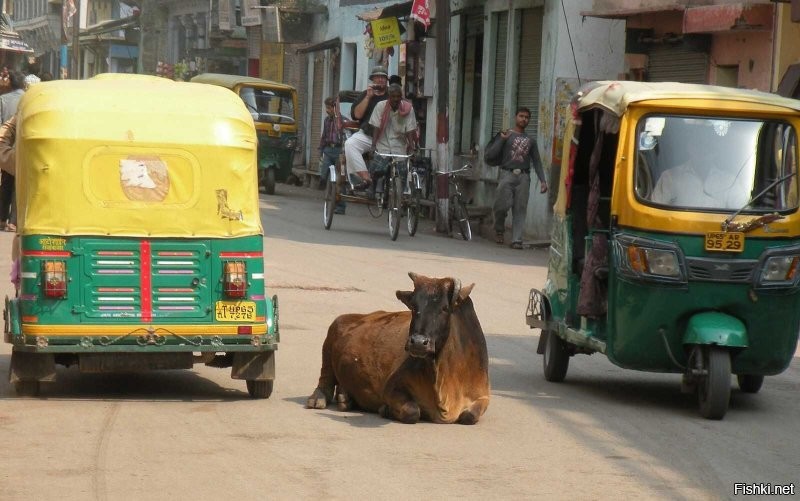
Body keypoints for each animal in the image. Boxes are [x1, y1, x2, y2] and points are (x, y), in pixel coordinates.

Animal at [306, 272, 490, 424]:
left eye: (445, 308)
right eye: (414, 306)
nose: (418, 342)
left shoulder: (483, 396)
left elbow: (470, 416)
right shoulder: (391, 388)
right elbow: (413, 412)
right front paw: (385, 410)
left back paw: (345, 398)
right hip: (333, 331)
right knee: (325, 379)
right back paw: (319, 399)